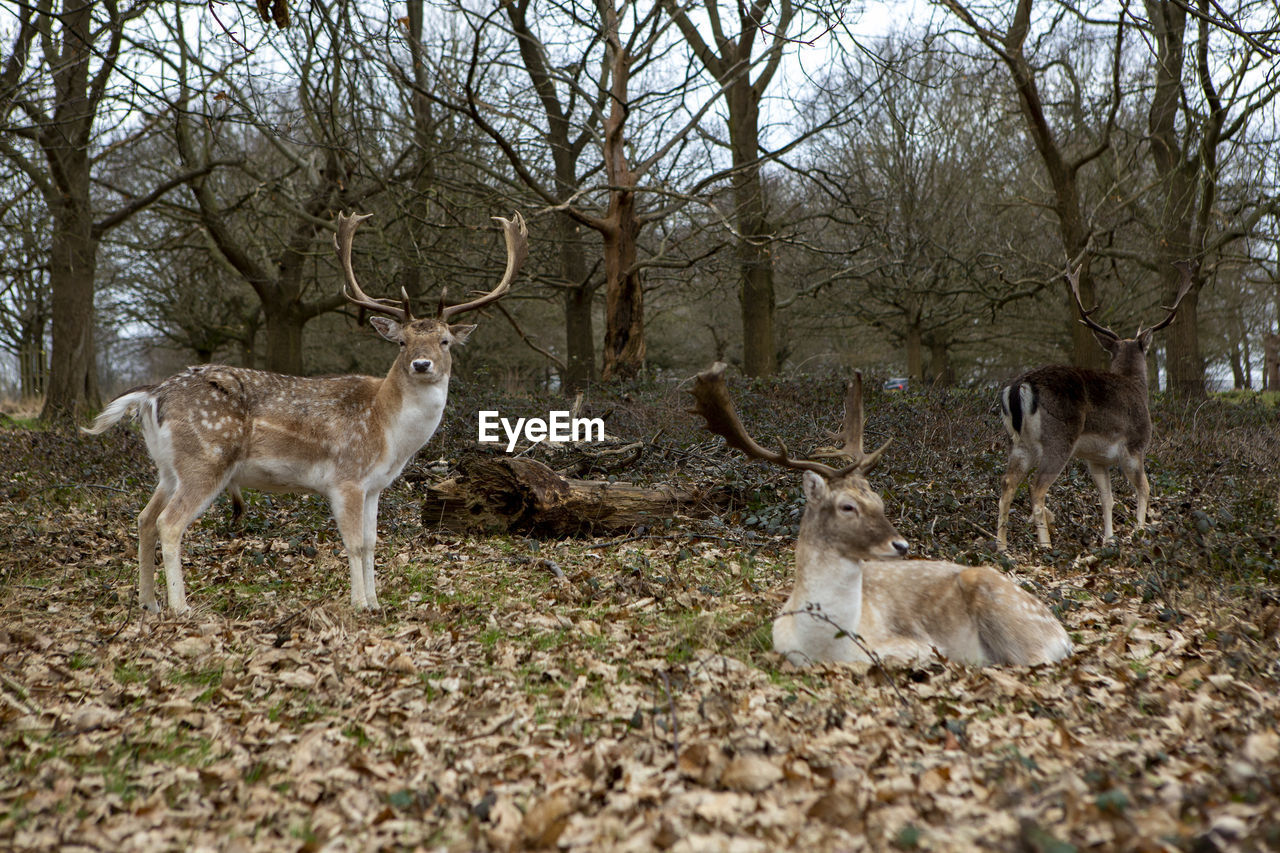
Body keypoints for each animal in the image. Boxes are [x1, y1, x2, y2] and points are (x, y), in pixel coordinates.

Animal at [85, 211, 527, 612]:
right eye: (401, 342)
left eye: (445, 341)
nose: (422, 364)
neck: (388, 431)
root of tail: (152, 394)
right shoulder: (346, 477)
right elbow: (353, 543)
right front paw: (359, 605)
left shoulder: (374, 486)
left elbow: (372, 543)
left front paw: (377, 603)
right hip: (205, 459)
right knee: (169, 523)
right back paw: (181, 608)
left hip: (168, 467)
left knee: (144, 519)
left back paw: (149, 604)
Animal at [691, 361, 1070, 666]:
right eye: (847, 506)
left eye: (879, 501)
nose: (901, 545)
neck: (823, 647)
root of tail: (1063, 635)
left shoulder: (915, 644)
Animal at [993, 261, 1192, 550]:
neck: (1138, 389)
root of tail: (1020, 386)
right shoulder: (1135, 446)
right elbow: (1144, 488)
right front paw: (1139, 531)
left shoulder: (1096, 459)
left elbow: (1107, 498)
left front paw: (1109, 539)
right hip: (1059, 438)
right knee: (1036, 487)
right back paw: (1045, 545)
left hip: (1018, 443)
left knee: (1007, 484)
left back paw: (1002, 546)